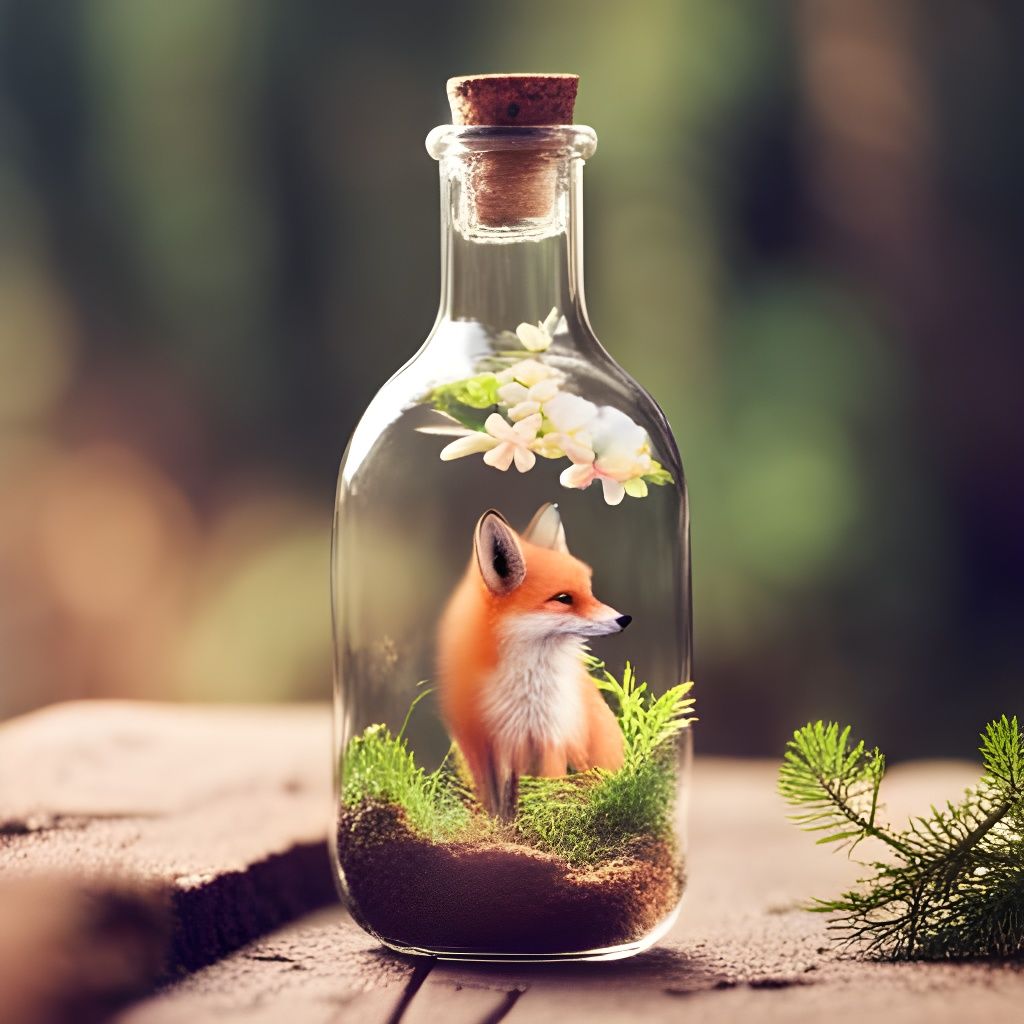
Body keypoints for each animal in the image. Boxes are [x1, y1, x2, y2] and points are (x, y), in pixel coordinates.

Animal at [437, 503, 630, 819]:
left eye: (589, 591)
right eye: (563, 598)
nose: (625, 619)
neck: (526, 690)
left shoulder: (552, 737)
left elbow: (550, 787)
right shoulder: (491, 743)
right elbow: (499, 804)